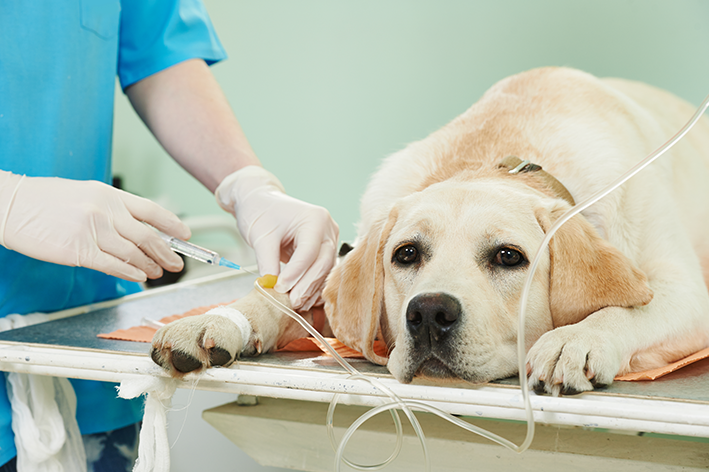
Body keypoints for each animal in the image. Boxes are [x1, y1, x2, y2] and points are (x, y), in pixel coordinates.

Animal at [149, 67, 708, 394]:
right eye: (406, 254)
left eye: (509, 257)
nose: (430, 313)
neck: (499, 157)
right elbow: (282, 297)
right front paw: (219, 319)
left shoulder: (690, 296)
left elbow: (626, 309)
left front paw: (578, 339)